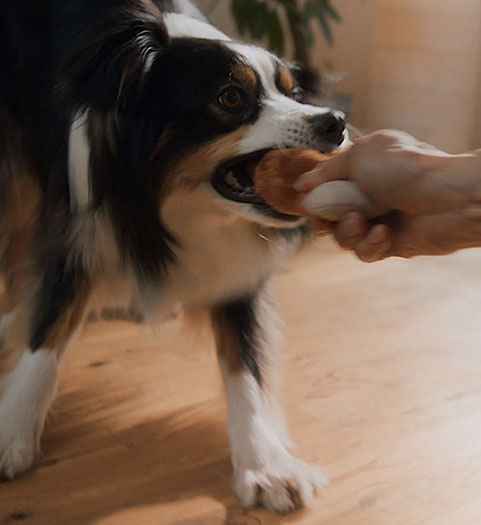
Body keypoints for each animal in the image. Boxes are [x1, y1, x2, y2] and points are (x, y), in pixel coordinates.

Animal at [0, 0, 344, 512]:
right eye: (230, 98)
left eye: (294, 92)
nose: (335, 120)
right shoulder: (78, 222)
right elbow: (48, 330)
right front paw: (12, 430)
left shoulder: (237, 263)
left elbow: (246, 364)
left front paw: (266, 466)